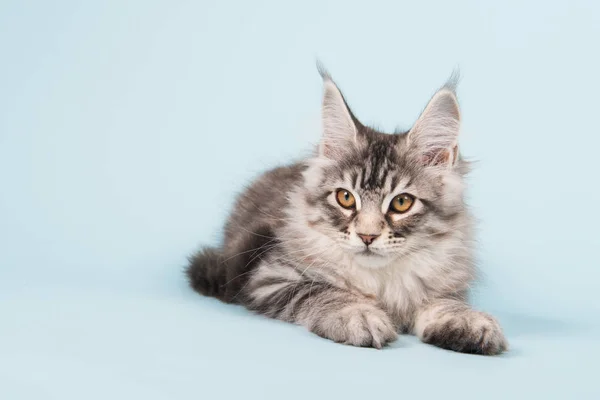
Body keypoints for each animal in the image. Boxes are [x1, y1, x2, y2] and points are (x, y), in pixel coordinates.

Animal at [186, 67, 506, 354]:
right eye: (345, 198)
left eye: (402, 202)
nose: (367, 236)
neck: (379, 281)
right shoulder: (270, 276)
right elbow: (324, 292)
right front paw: (357, 314)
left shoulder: (445, 287)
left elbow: (445, 303)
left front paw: (466, 320)